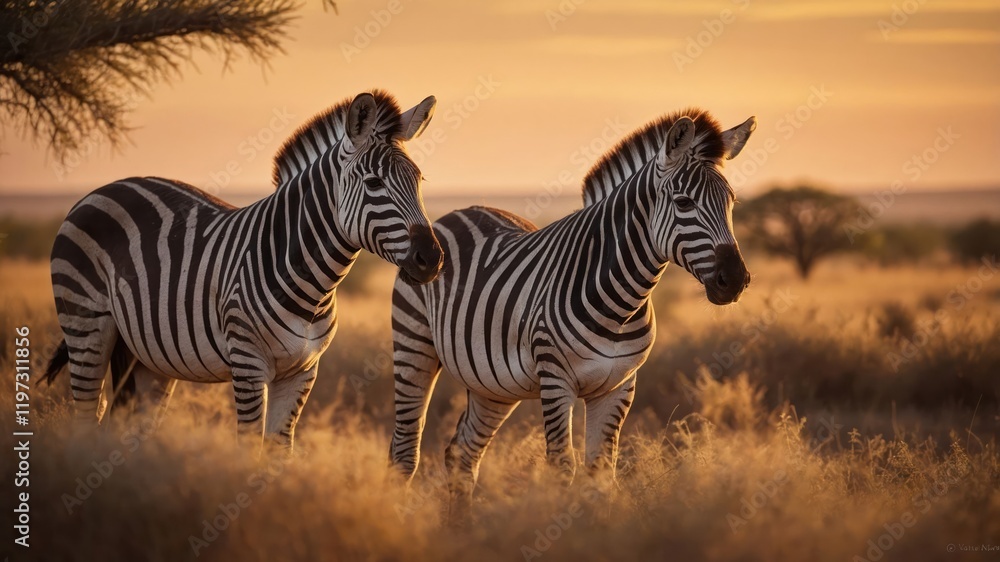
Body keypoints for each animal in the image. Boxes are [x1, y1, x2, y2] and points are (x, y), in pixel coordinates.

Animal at [41, 90, 444, 451]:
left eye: (419, 180)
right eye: (374, 183)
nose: (432, 258)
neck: (312, 284)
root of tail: (103, 189)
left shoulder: (303, 371)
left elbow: (279, 452)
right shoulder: (248, 363)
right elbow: (249, 450)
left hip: (148, 357)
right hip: (86, 325)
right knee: (86, 414)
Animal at [388, 108, 756, 515]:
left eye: (732, 202)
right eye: (684, 202)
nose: (735, 280)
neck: (621, 306)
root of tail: (458, 211)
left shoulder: (619, 386)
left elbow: (601, 471)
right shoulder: (555, 378)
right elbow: (563, 466)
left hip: (491, 384)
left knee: (462, 454)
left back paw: (460, 526)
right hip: (414, 344)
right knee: (404, 449)